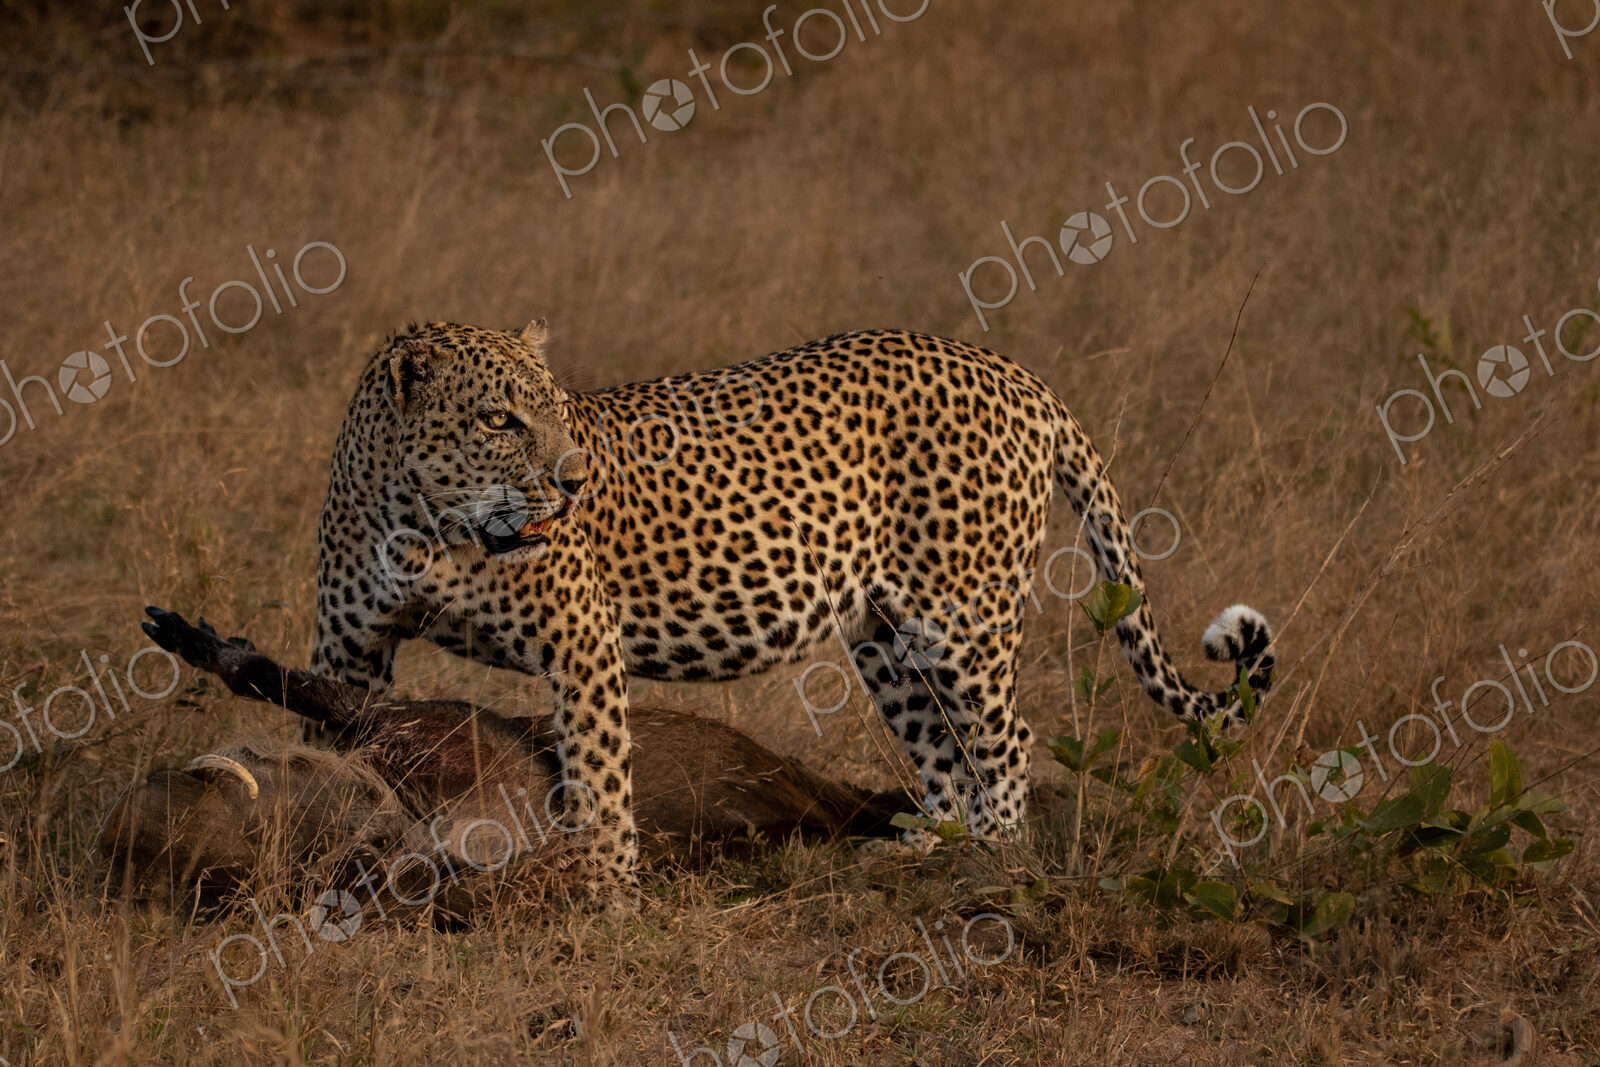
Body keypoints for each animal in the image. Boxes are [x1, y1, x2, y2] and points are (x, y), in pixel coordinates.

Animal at [309, 320, 1276, 888]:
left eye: (553, 410)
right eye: (499, 419)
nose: (575, 480)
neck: (425, 525)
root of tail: (1012, 371)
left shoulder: (580, 644)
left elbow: (600, 778)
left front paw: (607, 893)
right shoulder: (345, 651)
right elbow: (325, 746)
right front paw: (307, 854)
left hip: (961, 614)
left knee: (1007, 737)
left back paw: (994, 859)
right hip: (888, 634)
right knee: (944, 744)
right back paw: (929, 843)